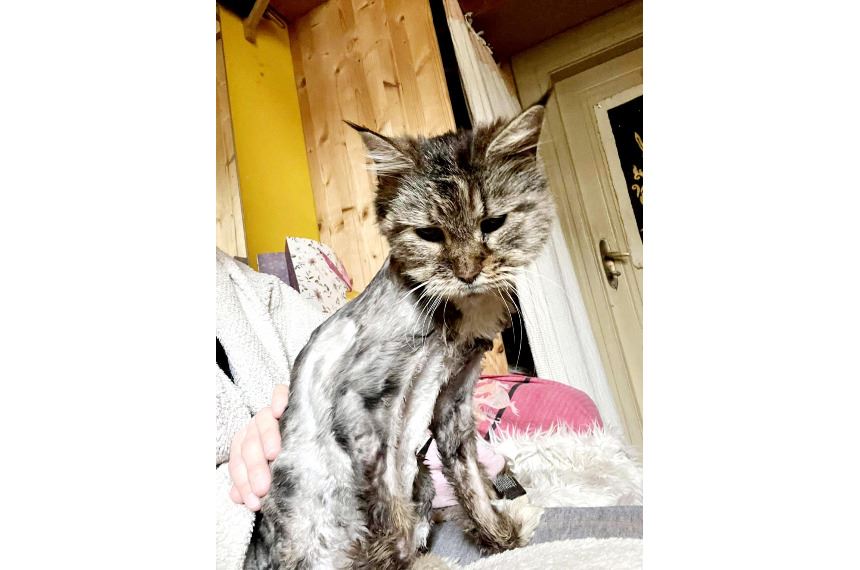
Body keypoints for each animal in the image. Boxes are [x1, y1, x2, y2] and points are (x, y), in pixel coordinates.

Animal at [251, 95, 554, 570]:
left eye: (492, 223)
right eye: (429, 234)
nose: (468, 273)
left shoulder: (453, 399)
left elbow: (469, 476)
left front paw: (497, 536)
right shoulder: (362, 408)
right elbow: (387, 507)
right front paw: (401, 559)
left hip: (424, 478)